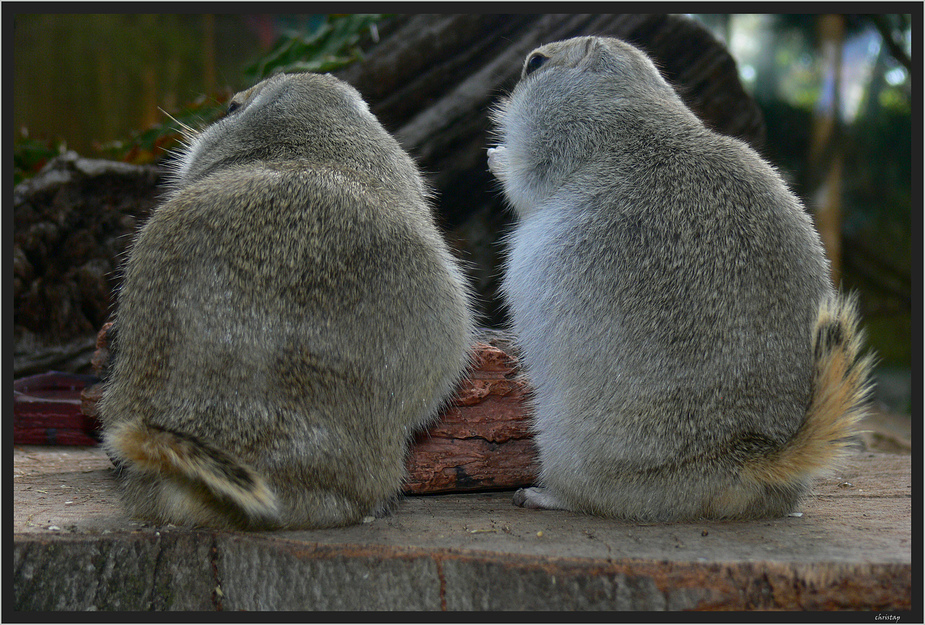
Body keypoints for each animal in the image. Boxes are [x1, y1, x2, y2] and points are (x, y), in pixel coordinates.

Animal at [490, 36, 872, 520]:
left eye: (537, 63)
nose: (528, 61)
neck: (631, 100)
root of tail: (745, 455)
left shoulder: (562, 139)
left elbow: (524, 179)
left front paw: (497, 156)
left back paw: (541, 494)